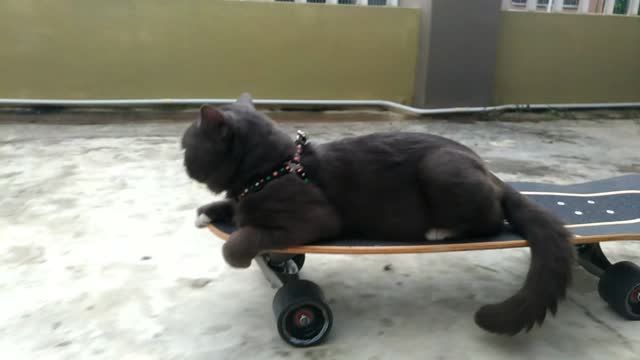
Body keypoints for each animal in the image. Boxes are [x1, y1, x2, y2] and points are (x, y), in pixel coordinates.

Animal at [180, 92, 576, 334]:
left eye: (186, 146)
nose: (181, 160)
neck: (273, 168)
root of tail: (490, 170)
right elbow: (234, 207)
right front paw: (207, 212)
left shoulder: (314, 217)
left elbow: (243, 237)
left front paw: (237, 251)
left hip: (441, 167)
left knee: (492, 220)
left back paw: (441, 230)